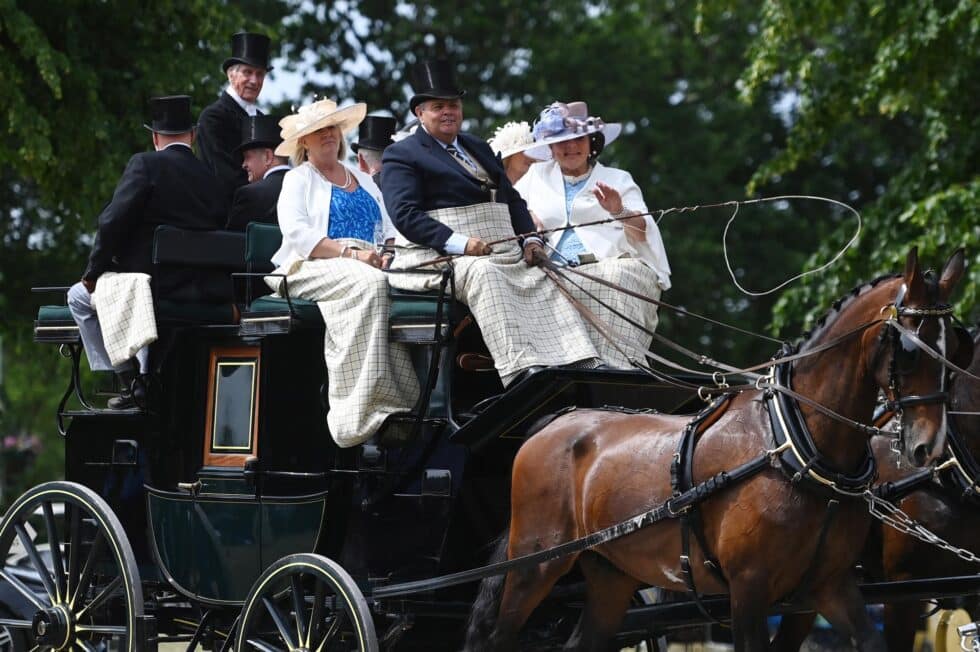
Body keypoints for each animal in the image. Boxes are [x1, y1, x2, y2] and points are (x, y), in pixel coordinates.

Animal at [466, 247, 964, 648]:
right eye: (910, 348)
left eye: (956, 349)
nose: (927, 446)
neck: (796, 450)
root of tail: (553, 422)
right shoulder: (749, 588)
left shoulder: (830, 584)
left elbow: (868, 639)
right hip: (533, 567)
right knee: (499, 638)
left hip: (610, 574)